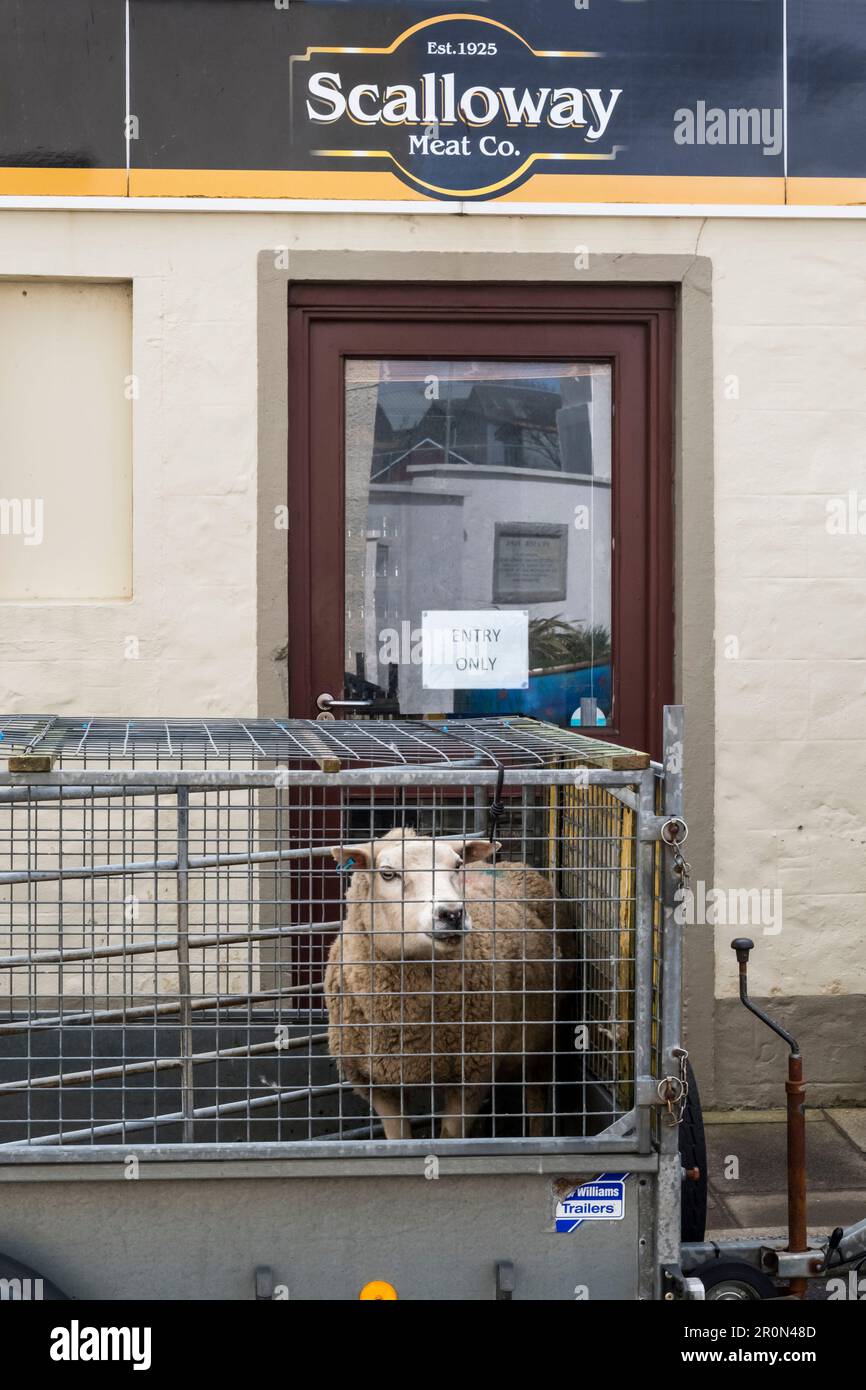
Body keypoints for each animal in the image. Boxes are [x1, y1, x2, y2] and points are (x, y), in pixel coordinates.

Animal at [325, 822, 561, 1139]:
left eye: (457, 865)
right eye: (387, 874)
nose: (452, 914)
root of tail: (511, 864)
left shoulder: (472, 1074)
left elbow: (450, 1136)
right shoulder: (377, 1082)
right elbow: (399, 1138)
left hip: (542, 1041)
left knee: (536, 1100)